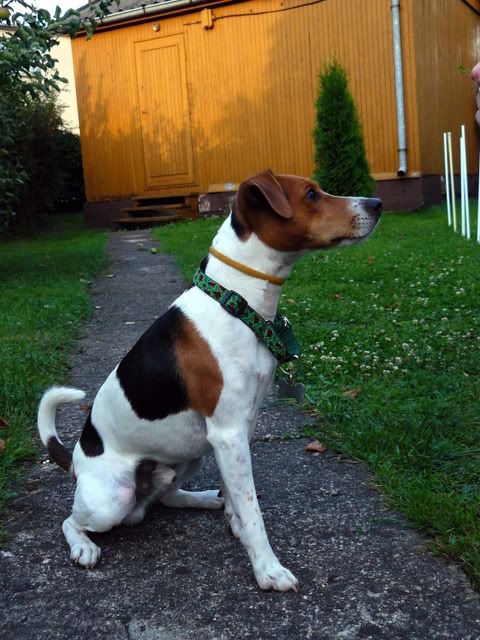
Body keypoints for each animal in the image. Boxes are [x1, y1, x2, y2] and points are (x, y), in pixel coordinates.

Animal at [38, 169, 381, 592]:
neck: (238, 302)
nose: (377, 204)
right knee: (71, 521)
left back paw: (203, 497)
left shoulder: (239, 430)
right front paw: (267, 568)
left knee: (166, 497)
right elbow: (253, 511)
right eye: (311, 194)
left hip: (188, 456)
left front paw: (233, 521)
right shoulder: (228, 432)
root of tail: (75, 461)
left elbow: (238, 499)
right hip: (110, 502)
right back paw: (83, 547)